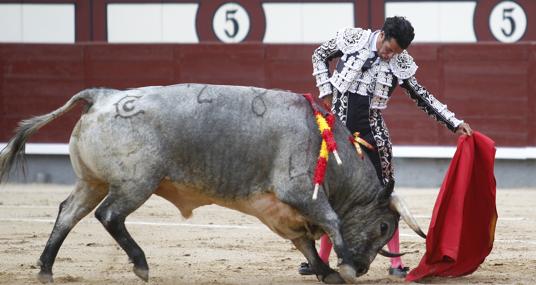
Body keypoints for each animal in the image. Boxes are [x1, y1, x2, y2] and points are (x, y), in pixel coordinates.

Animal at [1, 83, 428, 282]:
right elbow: (333, 222)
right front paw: (345, 267)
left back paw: (45, 268)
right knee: (109, 216)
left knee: (67, 214)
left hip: (92, 182)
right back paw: (141, 265)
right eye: (384, 225)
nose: (365, 266)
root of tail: (103, 96)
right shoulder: (299, 191)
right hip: (135, 183)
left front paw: (328, 273)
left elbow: (305, 242)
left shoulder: (279, 210)